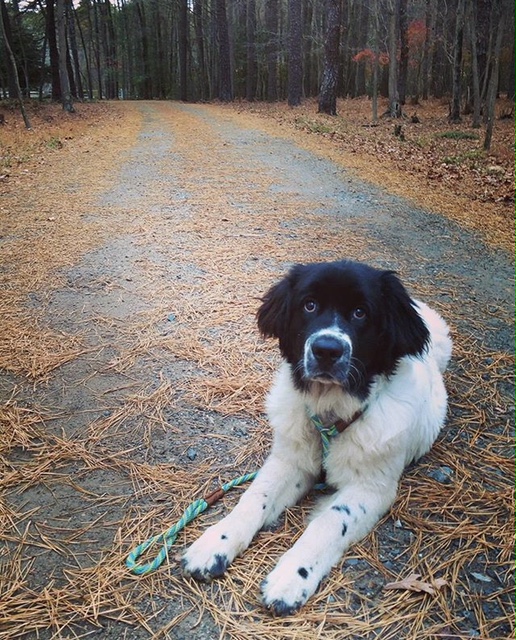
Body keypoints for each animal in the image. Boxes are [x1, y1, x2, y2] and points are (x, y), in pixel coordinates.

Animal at [181, 258, 452, 616]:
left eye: (361, 312)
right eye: (309, 305)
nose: (326, 350)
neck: (330, 416)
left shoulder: (372, 488)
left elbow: (331, 522)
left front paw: (292, 577)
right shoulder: (290, 460)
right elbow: (254, 497)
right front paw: (215, 542)